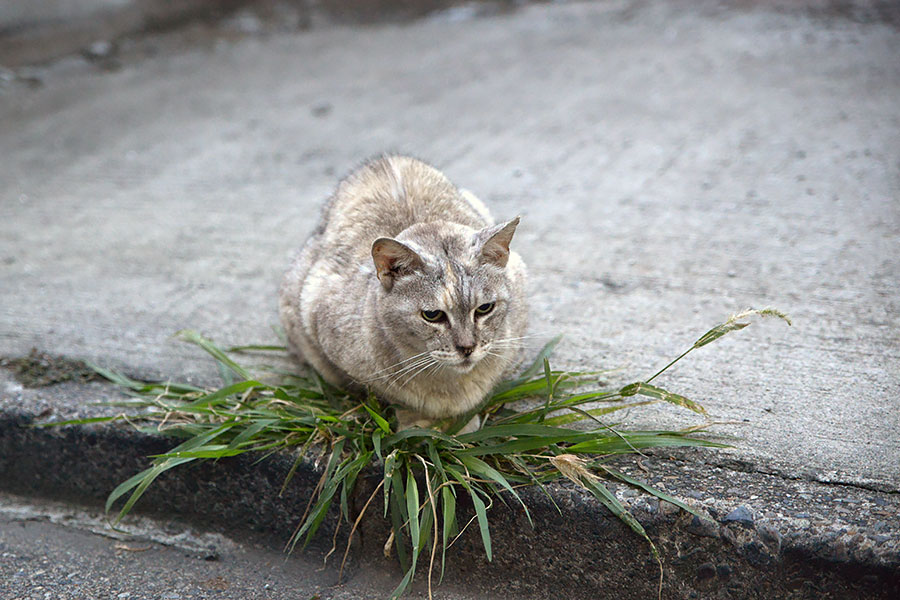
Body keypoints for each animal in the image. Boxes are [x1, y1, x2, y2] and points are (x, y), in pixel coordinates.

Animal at [276, 155, 528, 432]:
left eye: (484, 308)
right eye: (432, 315)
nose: (467, 348)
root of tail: (385, 158)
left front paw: (461, 424)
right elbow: (396, 398)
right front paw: (418, 424)